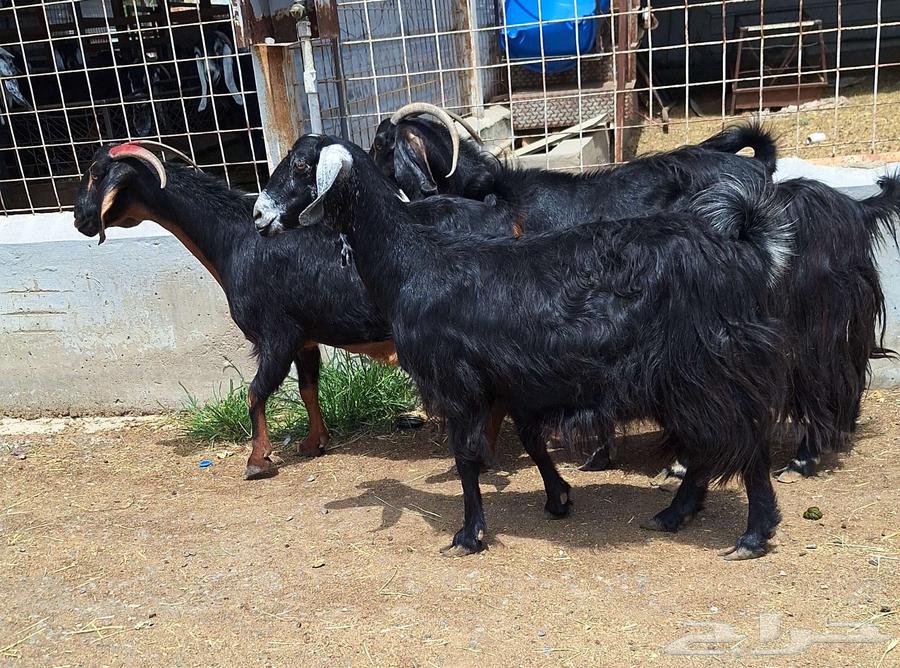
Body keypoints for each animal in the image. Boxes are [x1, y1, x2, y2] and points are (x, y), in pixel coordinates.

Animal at [254, 135, 793, 560]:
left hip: (707, 366)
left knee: (744, 436)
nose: (259, 215)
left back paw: (753, 534)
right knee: (712, 442)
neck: (414, 264)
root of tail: (740, 247)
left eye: (301, 165)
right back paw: (675, 513)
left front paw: (469, 534)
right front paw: (558, 498)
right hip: (684, 377)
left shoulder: (457, 383)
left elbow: (466, 457)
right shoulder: (512, 379)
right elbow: (532, 442)